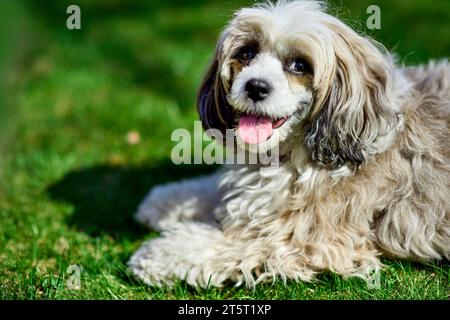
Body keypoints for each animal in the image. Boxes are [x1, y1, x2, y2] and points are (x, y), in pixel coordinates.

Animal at [127, 0, 450, 288]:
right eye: (247, 52)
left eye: (299, 65)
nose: (256, 86)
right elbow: (216, 190)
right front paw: (166, 201)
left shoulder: (303, 241)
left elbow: (226, 245)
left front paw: (158, 254)